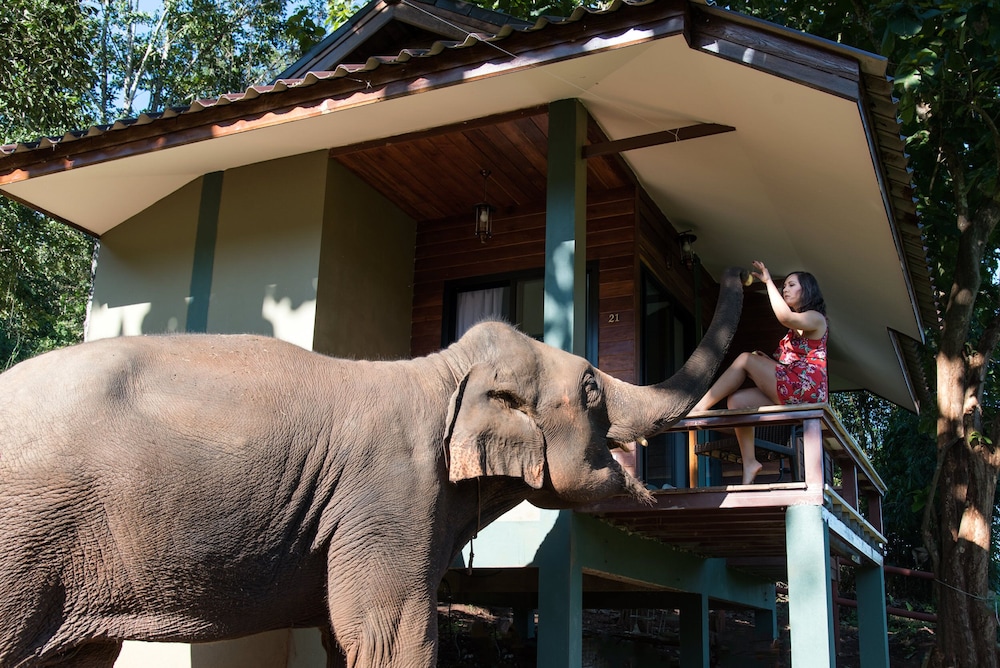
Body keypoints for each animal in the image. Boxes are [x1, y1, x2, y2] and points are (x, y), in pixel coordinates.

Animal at [0, 267, 745, 668]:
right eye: (591, 387)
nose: (753, 270)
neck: (443, 372)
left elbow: (344, 634)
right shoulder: (390, 493)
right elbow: (391, 634)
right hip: (26, 540)